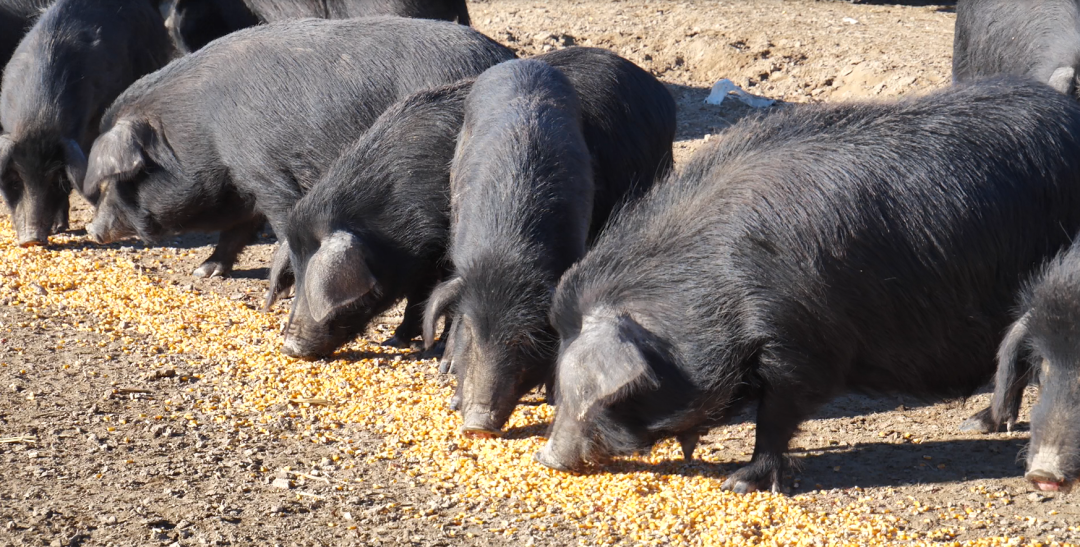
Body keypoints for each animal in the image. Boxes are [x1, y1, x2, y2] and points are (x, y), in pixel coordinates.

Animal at [82, 17, 511, 276]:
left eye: (130, 176)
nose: (92, 229)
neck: (202, 127)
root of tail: (505, 55)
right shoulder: (244, 180)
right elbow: (237, 228)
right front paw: (204, 271)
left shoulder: (266, 171)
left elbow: (280, 221)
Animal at [537, 78, 1080, 492]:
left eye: (588, 394)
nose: (547, 458)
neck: (711, 293)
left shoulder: (802, 345)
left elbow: (777, 415)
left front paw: (739, 484)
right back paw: (978, 424)